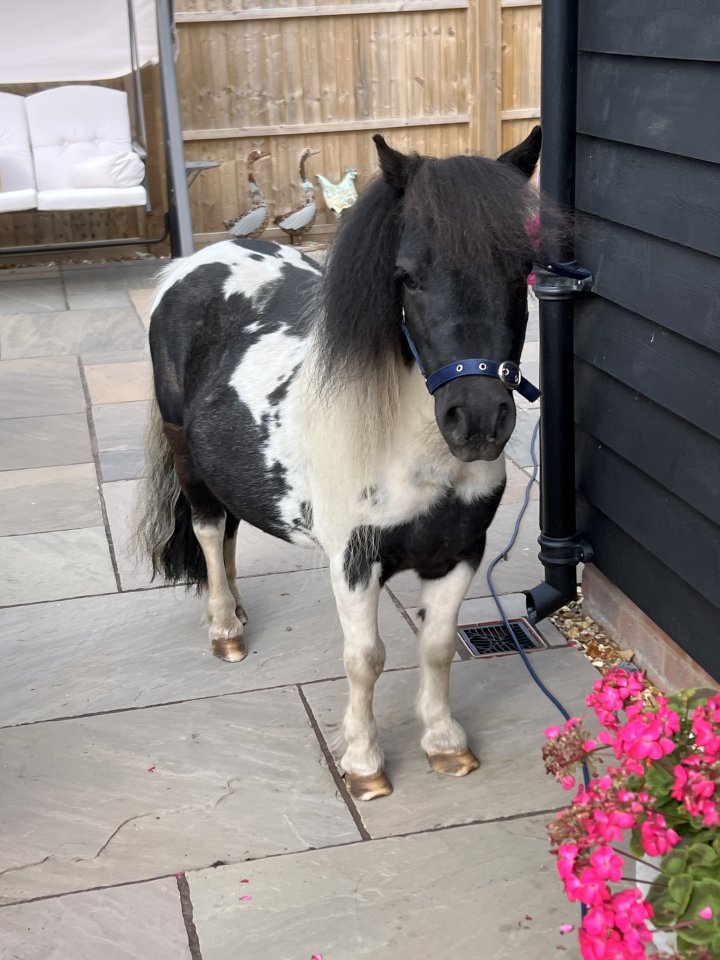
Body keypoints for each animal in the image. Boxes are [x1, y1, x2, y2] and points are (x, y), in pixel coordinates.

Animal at [136, 128, 542, 802]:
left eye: (524, 271)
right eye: (407, 276)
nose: (479, 422)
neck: (412, 450)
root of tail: (193, 264)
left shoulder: (460, 552)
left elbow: (436, 647)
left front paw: (445, 746)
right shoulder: (354, 560)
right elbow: (366, 658)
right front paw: (364, 765)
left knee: (231, 532)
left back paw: (238, 611)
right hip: (187, 458)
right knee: (210, 530)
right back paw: (225, 631)